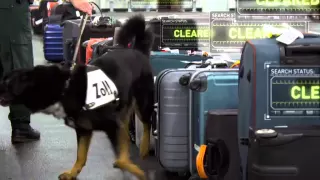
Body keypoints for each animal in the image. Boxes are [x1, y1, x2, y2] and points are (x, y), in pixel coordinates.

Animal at [0, 15, 154, 180]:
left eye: (7, 83)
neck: (64, 88)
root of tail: (137, 50)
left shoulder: (111, 124)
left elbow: (122, 159)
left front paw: (137, 171)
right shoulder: (84, 130)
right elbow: (81, 156)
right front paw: (73, 172)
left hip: (143, 103)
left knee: (147, 124)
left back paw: (144, 148)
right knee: (126, 128)